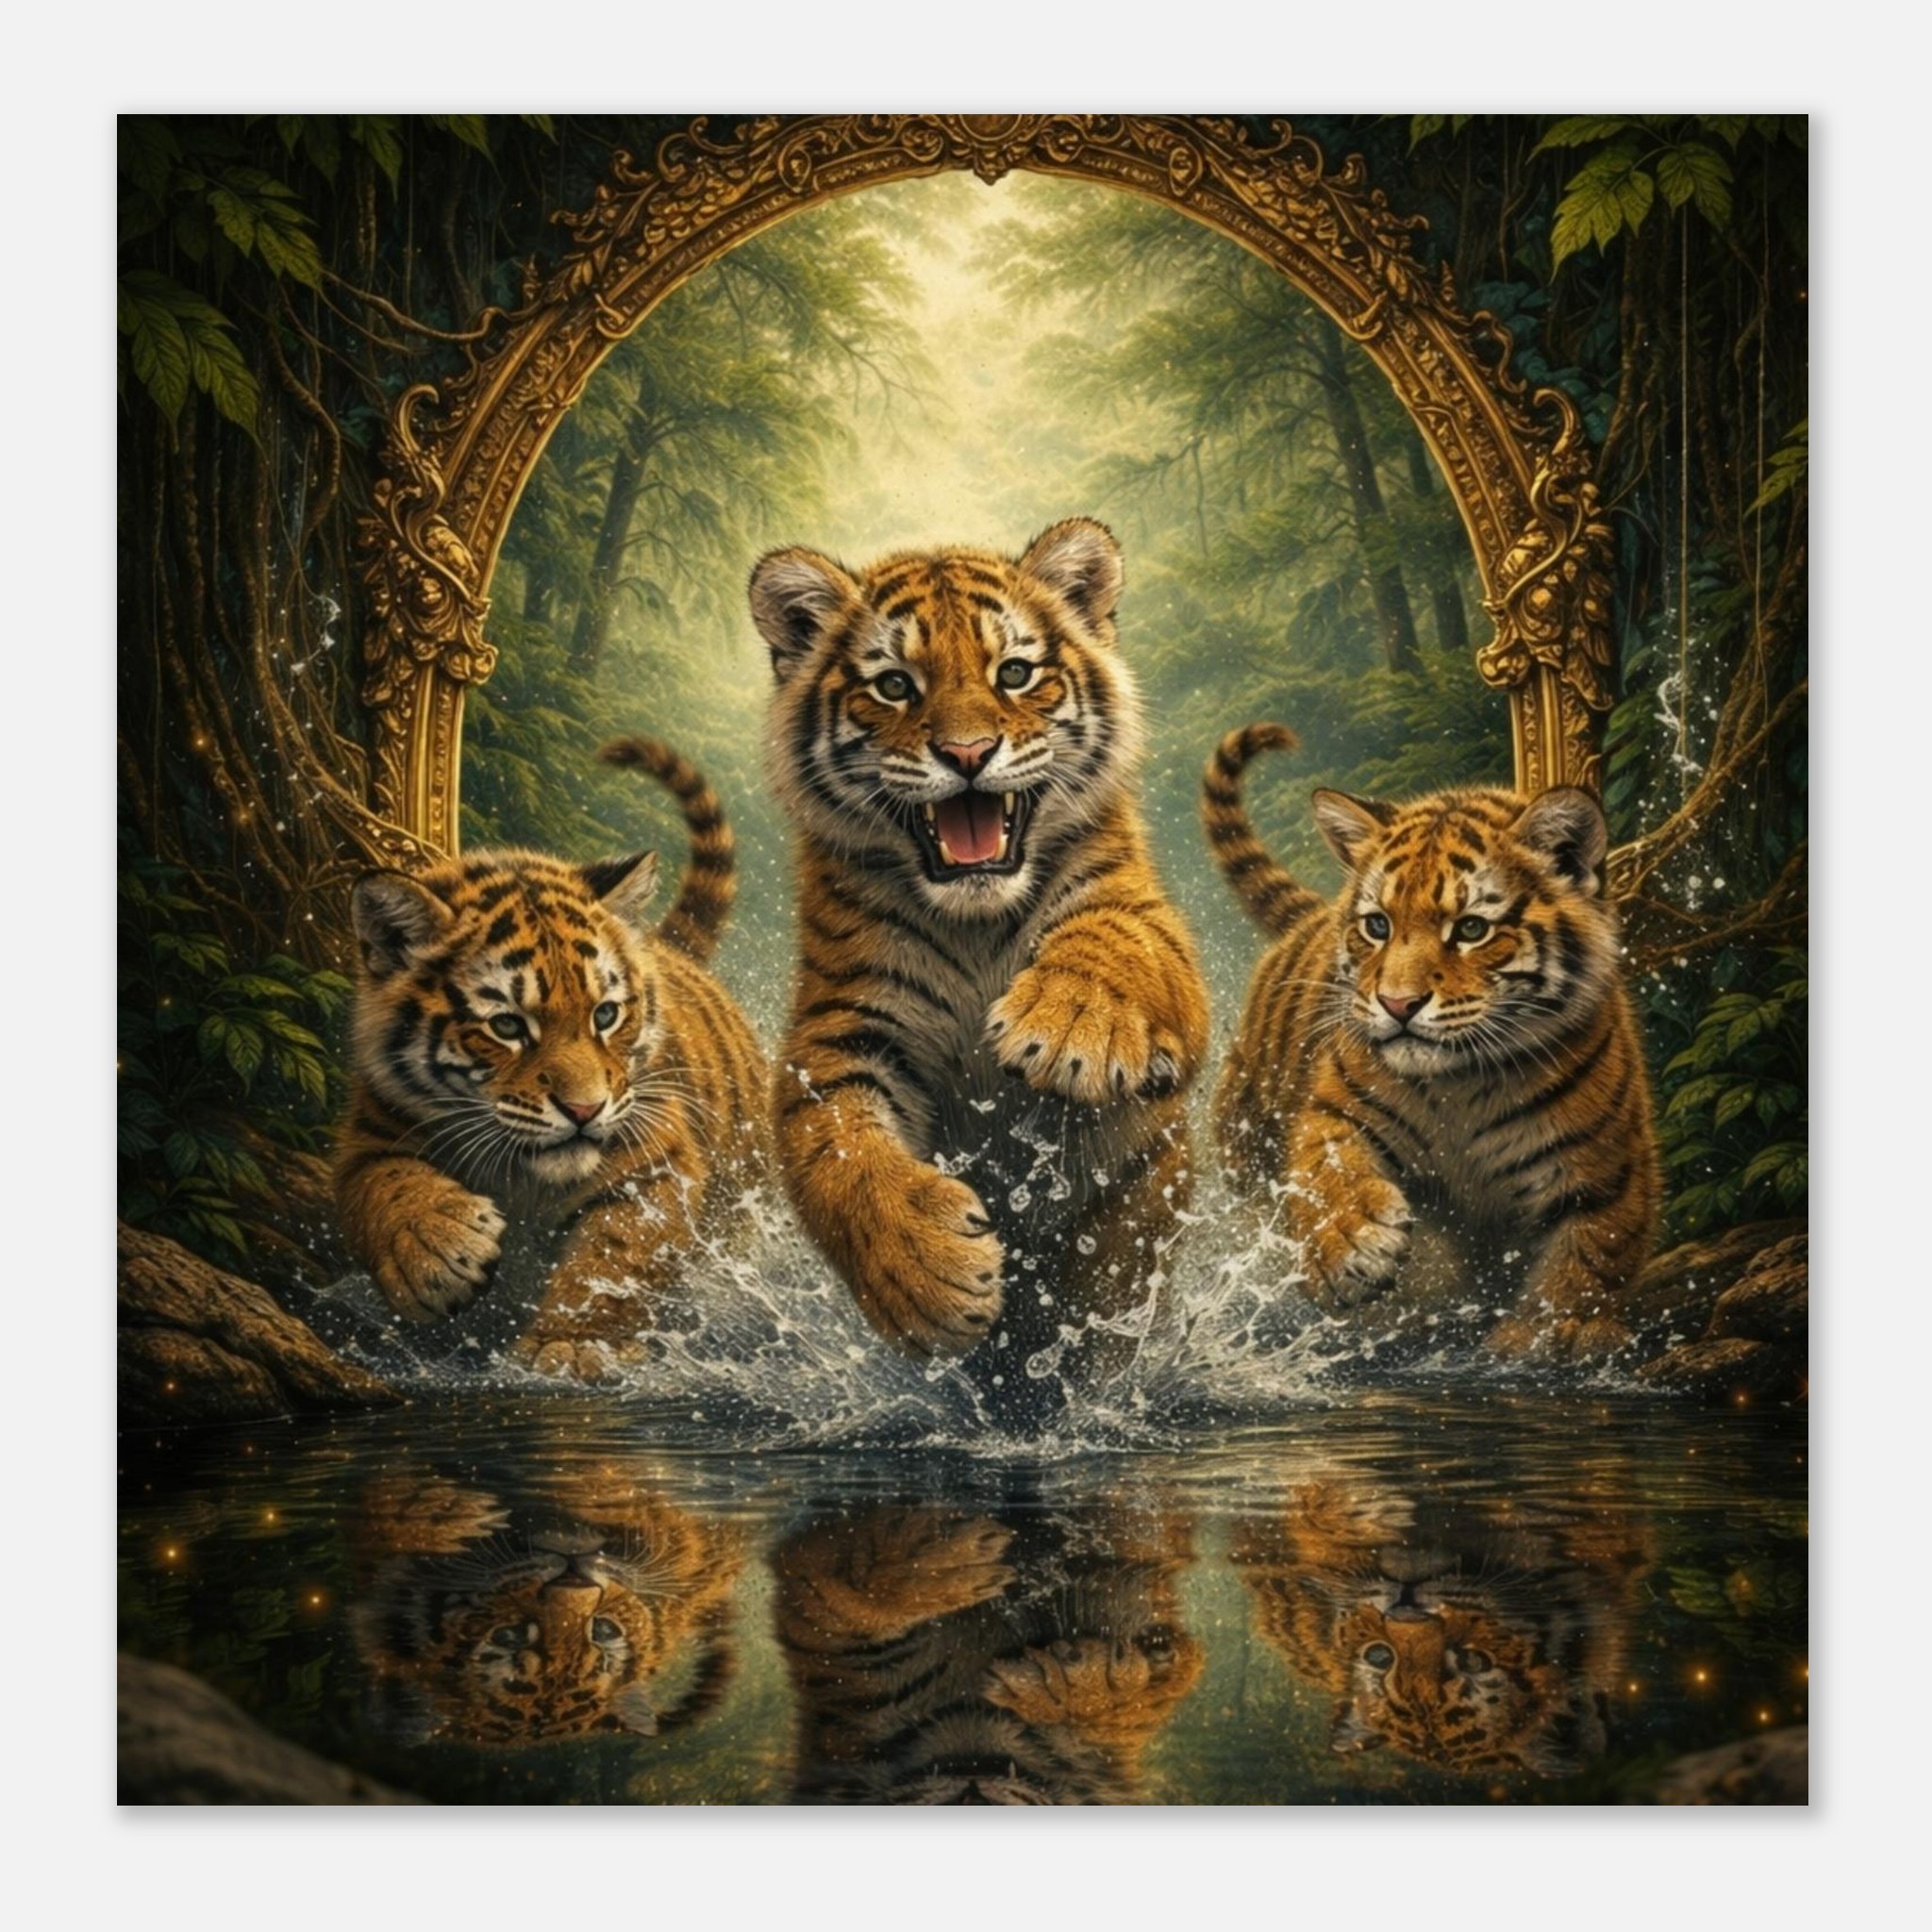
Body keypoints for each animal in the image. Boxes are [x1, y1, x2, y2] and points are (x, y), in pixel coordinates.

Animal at [332, 736, 770, 1378]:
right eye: (508, 1026)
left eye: (605, 1015)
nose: (584, 1111)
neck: (523, 1177)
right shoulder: (369, 1134)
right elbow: (382, 1187)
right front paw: (438, 1249)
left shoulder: (657, 1161)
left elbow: (614, 1258)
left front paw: (572, 1344)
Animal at [751, 519, 1209, 1395]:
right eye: (895, 686)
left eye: (1015, 674)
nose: (967, 754)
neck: (975, 924)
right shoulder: (837, 1028)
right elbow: (841, 1154)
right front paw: (927, 1272)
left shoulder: (1152, 929)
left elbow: (1113, 941)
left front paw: (1068, 1027)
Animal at [1203, 724, 1660, 1361]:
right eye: (1378, 925)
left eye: (1471, 929)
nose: (1398, 1004)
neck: (1465, 1084)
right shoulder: (1333, 1109)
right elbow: (1325, 1169)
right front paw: (1352, 1243)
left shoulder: (1607, 1165)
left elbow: (1590, 1255)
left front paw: (1554, 1334)